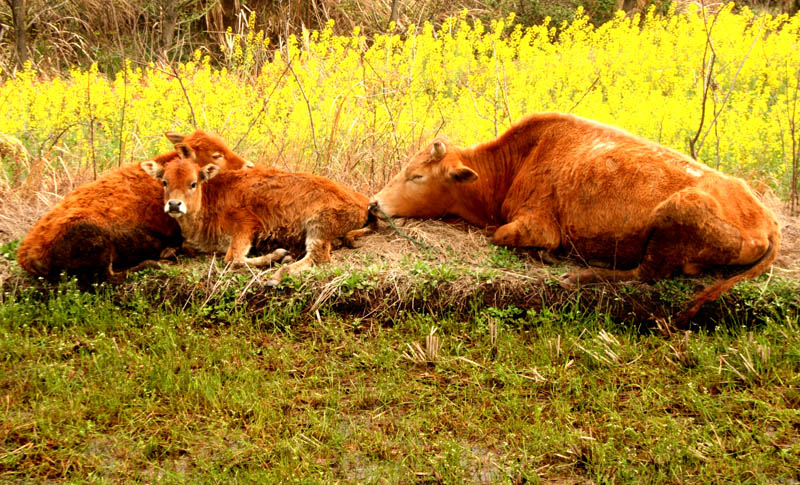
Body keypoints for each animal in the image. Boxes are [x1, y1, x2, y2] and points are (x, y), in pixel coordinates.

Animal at [17, 130, 252, 284]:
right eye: (216, 155)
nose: (248, 165)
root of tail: (26, 254)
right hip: (95, 239)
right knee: (109, 277)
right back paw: (160, 261)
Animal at [140, 142, 372, 286]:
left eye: (193, 183)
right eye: (164, 181)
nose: (174, 204)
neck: (209, 198)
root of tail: (362, 200)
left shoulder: (245, 227)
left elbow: (233, 259)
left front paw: (278, 254)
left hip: (318, 224)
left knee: (318, 257)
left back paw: (277, 275)